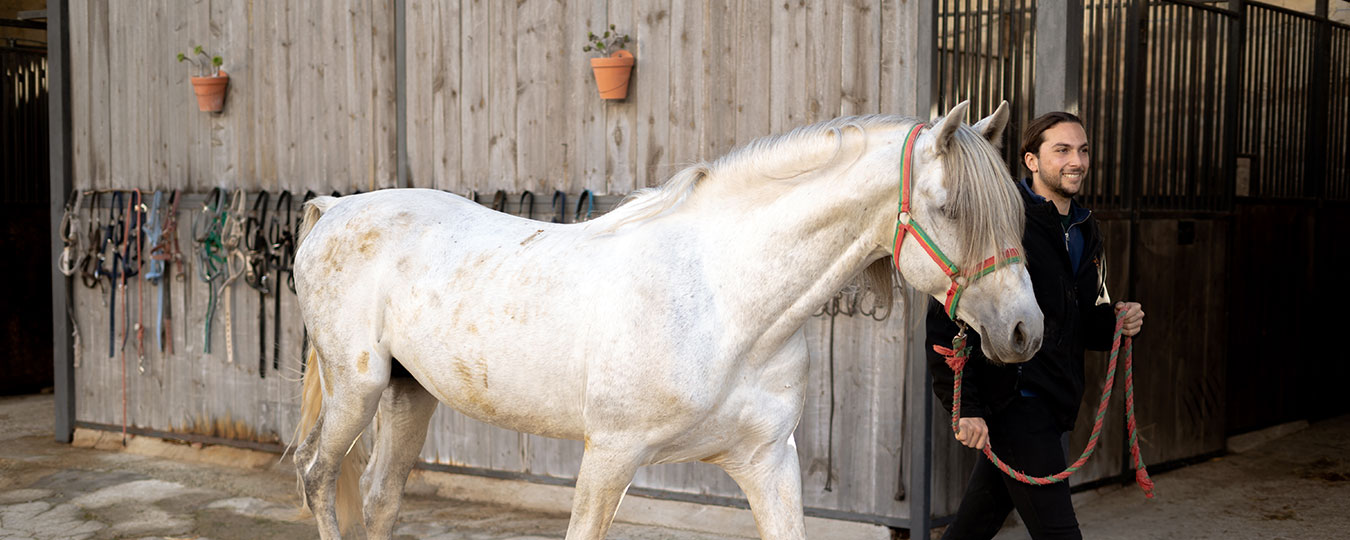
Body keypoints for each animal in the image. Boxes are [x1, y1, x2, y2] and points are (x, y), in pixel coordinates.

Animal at [290, 101, 1043, 540]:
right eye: (950, 207)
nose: (1024, 332)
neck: (724, 300)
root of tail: (334, 209)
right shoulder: (609, 455)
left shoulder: (767, 461)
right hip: (356, 391)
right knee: (319, 477)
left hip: (409, 395)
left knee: (382, 498)